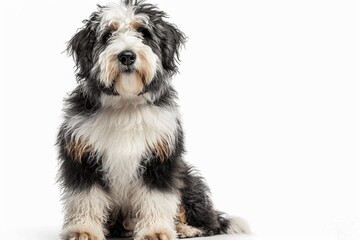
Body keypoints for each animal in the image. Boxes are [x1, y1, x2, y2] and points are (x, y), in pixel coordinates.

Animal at [57, 0, 250, 239]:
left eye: (143, 32)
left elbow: (156, 198)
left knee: (207, 220)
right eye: (108, 35)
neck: (126, 103)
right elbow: (86, 198)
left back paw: (186, 228)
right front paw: (84, 229)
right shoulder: (82, 159)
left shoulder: (160, 160)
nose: (127, 56)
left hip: (188, 179)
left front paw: (155, 230)